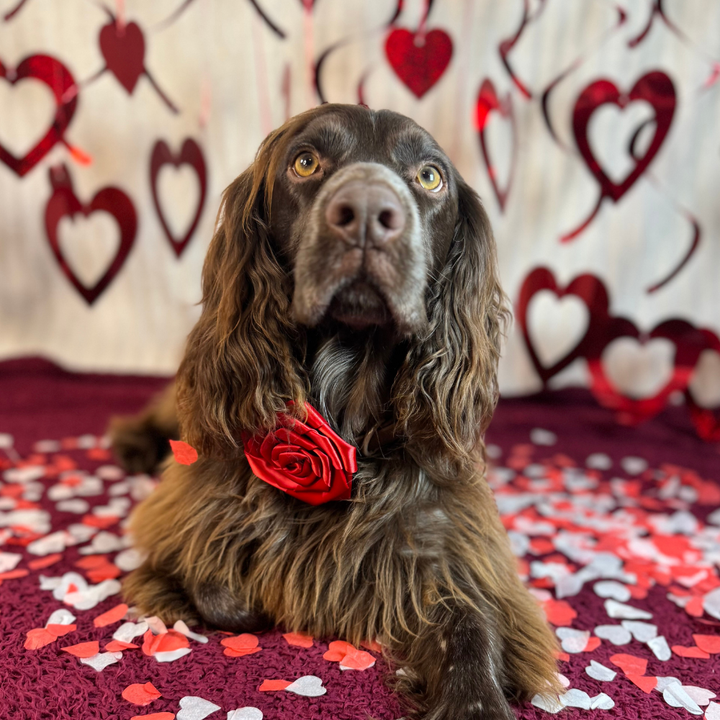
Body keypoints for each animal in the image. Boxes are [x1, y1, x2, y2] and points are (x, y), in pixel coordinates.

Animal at [114, 102, 564, 720]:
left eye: (430, 176)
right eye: (305, 162)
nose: (370, 213)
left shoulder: (452, 546)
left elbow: (470, 622)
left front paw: (475, 703)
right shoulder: (187, 517)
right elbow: (219, 583)